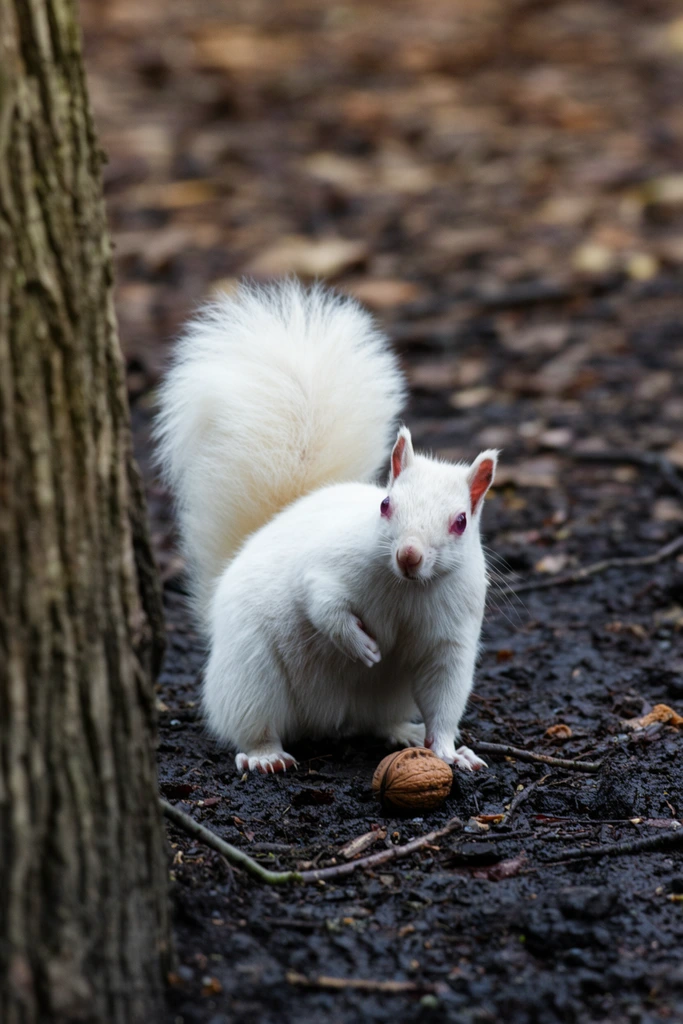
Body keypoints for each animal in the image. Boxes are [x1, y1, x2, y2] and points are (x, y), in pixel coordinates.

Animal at [156, 280, 497, 775]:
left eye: (460, 522)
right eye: (385, 504)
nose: (409, 555)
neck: (407, 588)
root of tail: (325, 718)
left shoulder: (451, 638)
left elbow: (445, 696)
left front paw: (450, 751)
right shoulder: (326, 567)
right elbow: (321, 602)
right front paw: (361, 646)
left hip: (384, 697)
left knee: (377, 721)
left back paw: (404, 731)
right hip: (252, 675)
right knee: (252, 722)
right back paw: (265, 756)